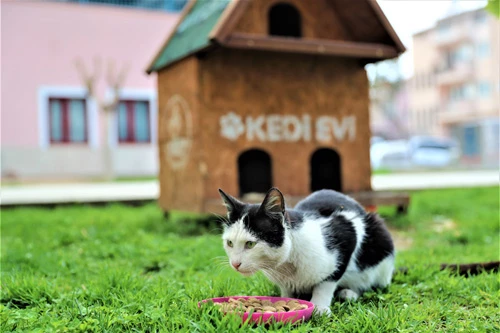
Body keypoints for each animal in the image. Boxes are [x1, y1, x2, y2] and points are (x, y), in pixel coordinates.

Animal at [219, 187, 394, 314]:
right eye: (230, 243)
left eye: (250, 244)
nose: (235, 263)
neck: (286, 265)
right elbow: (286, 289)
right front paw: (286, 300)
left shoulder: (347, 230)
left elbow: (326, 282)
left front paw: (319, 307)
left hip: (379, 239)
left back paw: (348, 293)